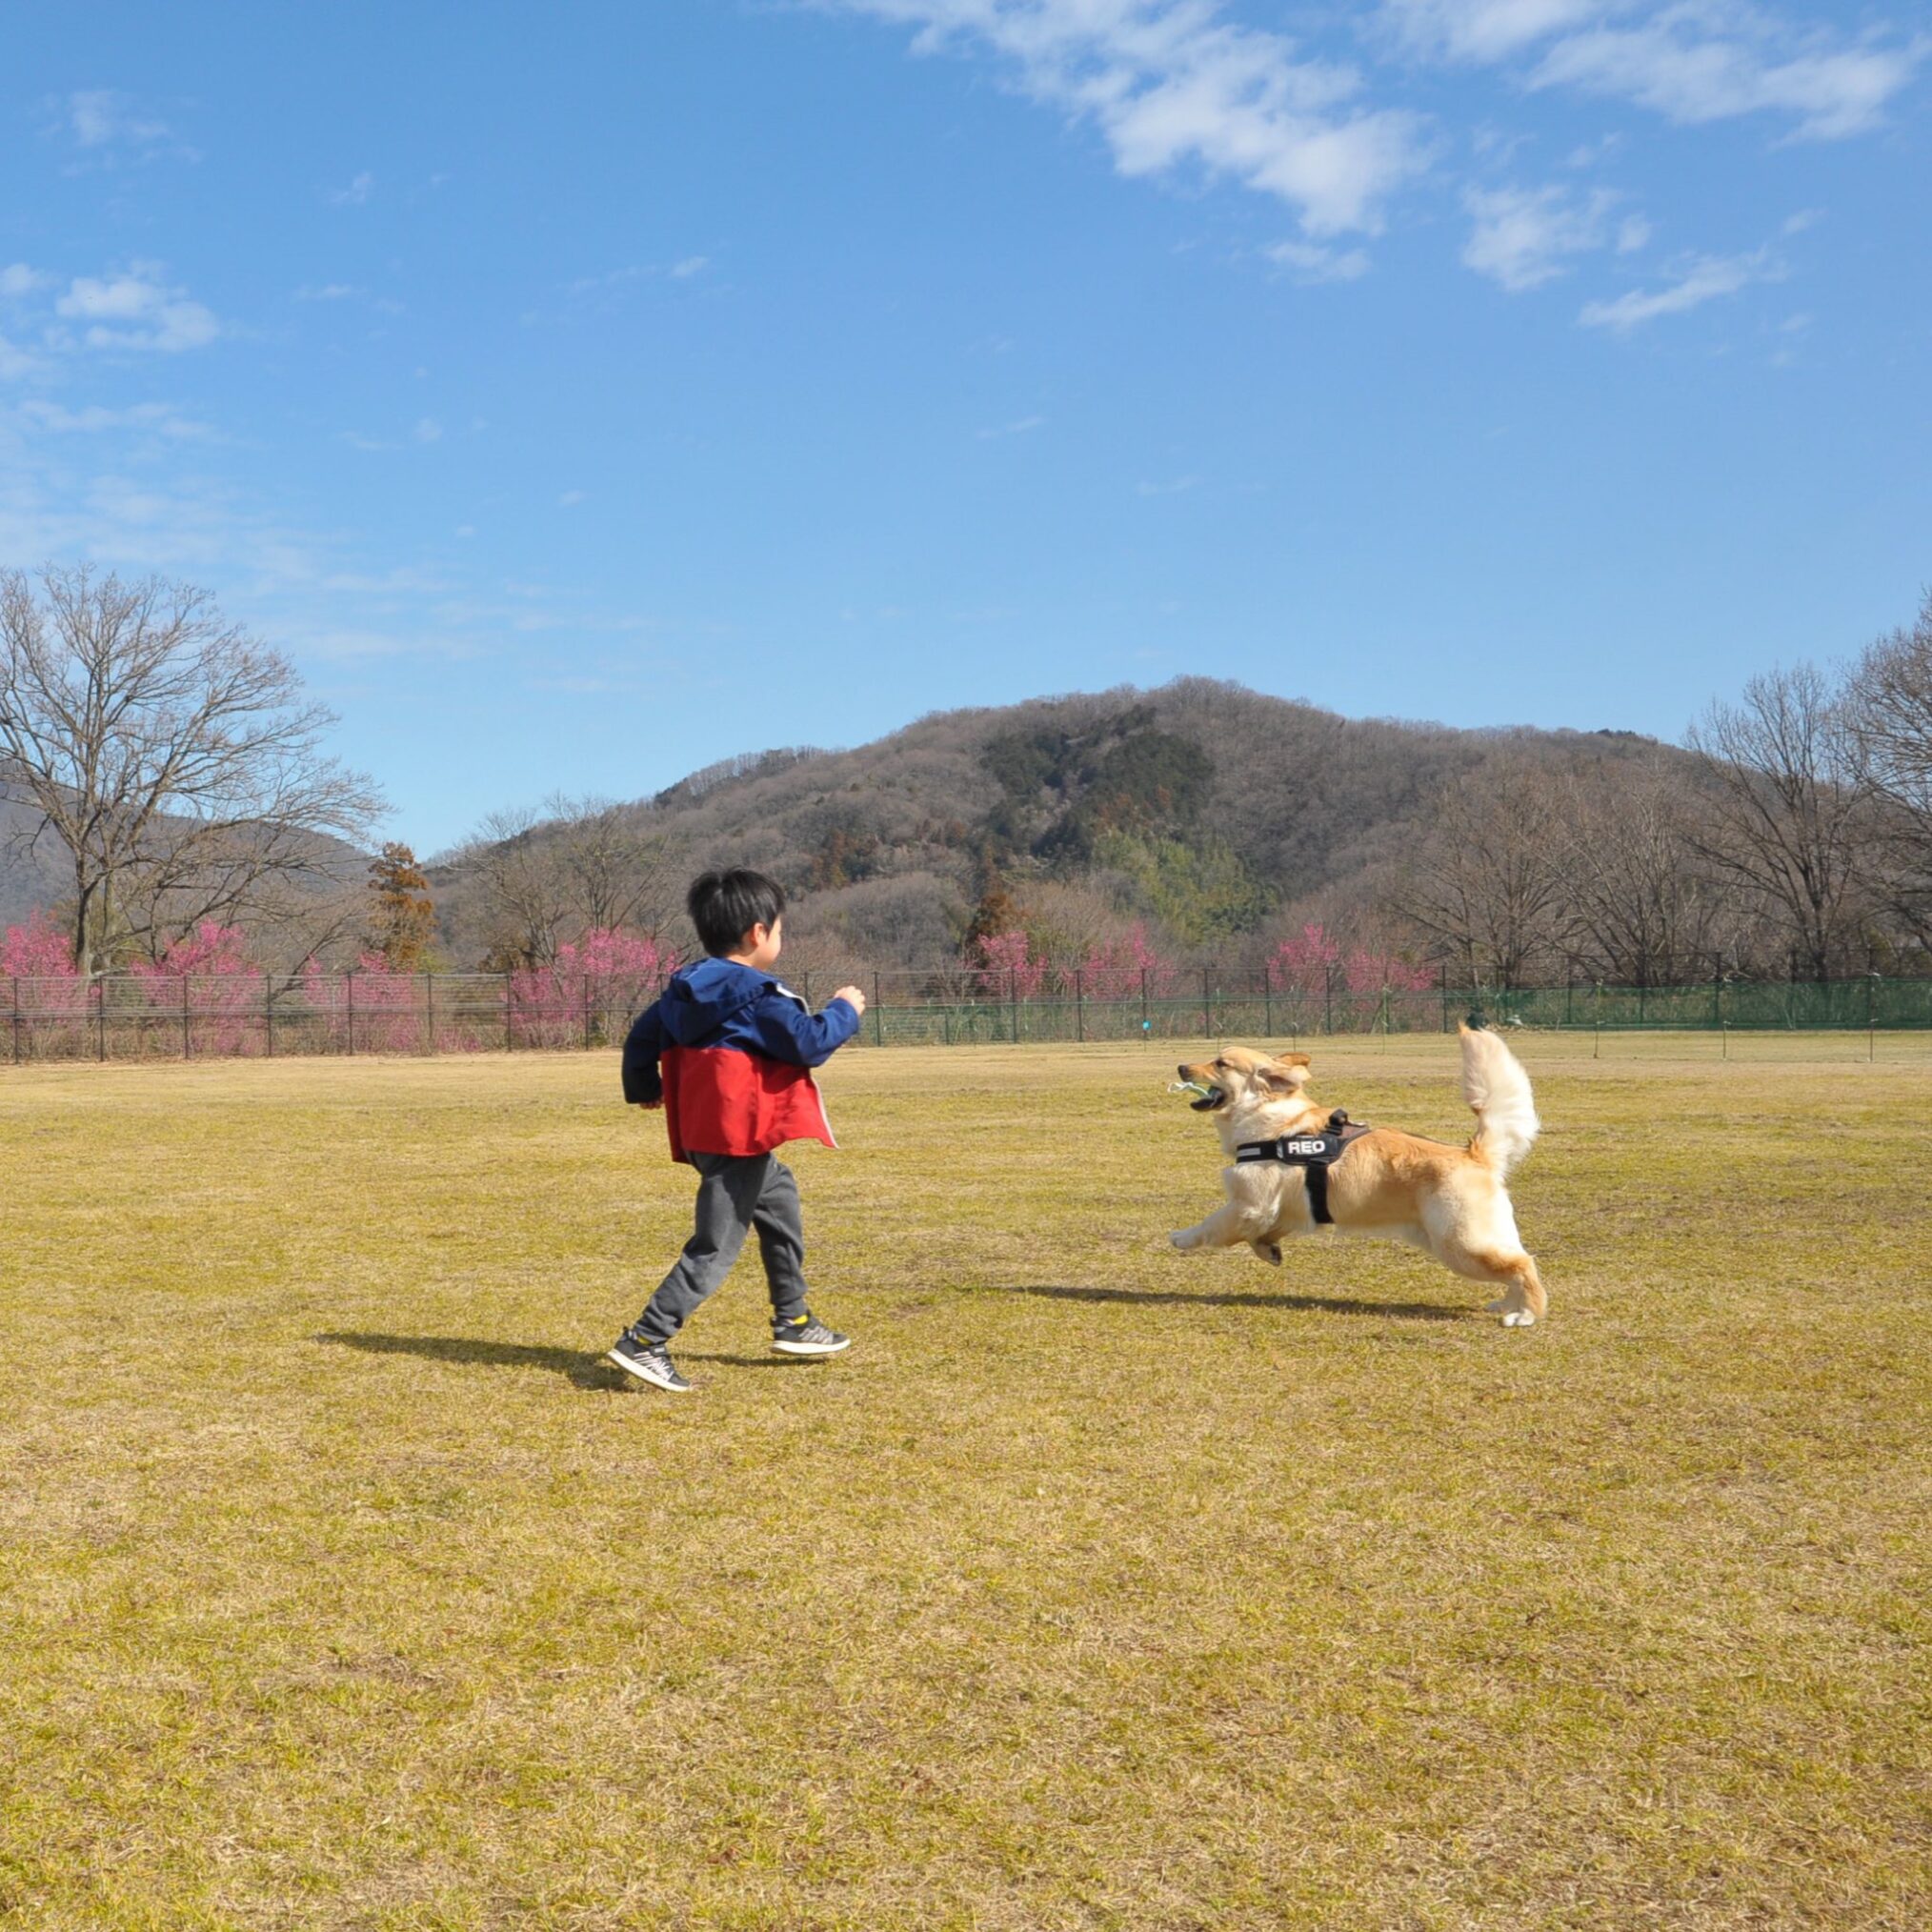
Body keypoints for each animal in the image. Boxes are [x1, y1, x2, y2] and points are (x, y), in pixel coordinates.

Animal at [1166, 1027, 1545, 1329]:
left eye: (1221, 1064)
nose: (1181, 1067)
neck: (1268, 1117)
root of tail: (1473, 1153)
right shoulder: (1286, 1208)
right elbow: (1261, 1236)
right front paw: (1269, 1251)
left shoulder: (1249, 1204)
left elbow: (1212, 1226)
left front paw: (1181, 1237)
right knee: (1515, 1262)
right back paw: (1507, 1304)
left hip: (1461, 1244)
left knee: (1523, 1265)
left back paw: (1524, 1315)